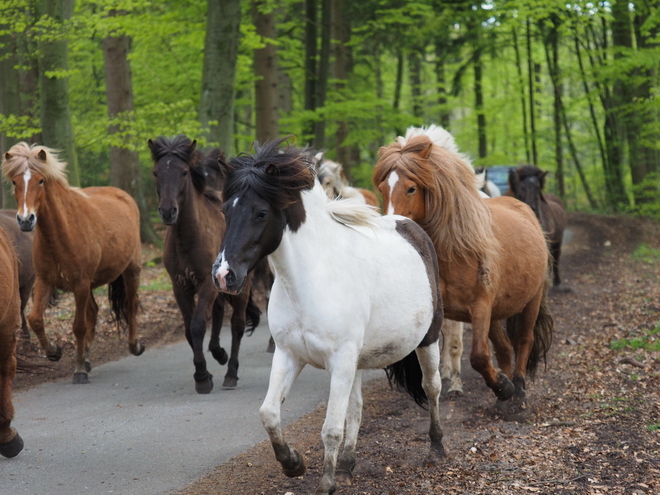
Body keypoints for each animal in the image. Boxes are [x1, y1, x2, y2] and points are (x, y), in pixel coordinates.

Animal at [149, 136, 260, 396]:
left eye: (183, 172)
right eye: (156, 173)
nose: (167, 211)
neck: (187, 238)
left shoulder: (206, 284)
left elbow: (198, 325)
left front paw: (201, 377)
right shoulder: (180, 287)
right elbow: (189, 330)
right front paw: (205, 371)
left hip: (241, 286)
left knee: (237, 324)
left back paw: (231, 372)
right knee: (218, 311)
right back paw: (218, 353)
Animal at [214, 140, 446, 495]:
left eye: (261, 213)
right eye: (226, 210)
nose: (224, 275)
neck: (310, 281)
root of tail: (410, 225)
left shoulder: (340, 359)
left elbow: (330, 428)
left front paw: (325, 483)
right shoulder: (289, 355)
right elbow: (269, 414)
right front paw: (293, 464)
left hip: (427, 340)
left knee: (432, 386)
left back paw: (436, 448)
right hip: (358, 361)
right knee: (357, 407)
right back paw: (348, 464)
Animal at [374, 125, 556, 404]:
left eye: (411, 188)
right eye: (382, 188)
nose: (394, 226)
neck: (452, 252)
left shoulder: (480, 306)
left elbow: (478, 356)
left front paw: (503, 387)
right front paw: (500, 387)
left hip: (531, 301)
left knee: (523, 340)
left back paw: (518, 388)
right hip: (497, 311)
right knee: (504, 347)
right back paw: (505, 393)